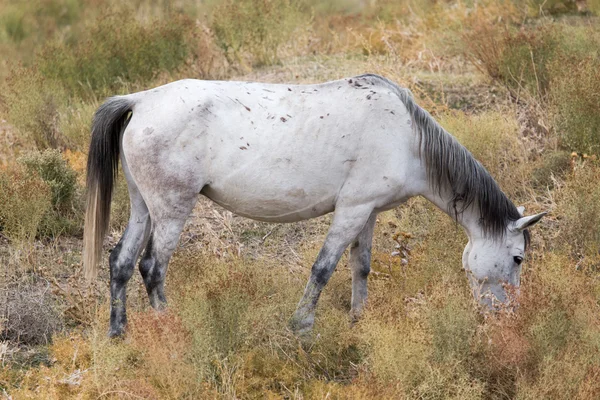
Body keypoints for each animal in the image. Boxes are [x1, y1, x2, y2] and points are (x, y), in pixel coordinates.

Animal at [82, 73, 548, 336]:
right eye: (518, 258)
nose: (507, 316)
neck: (407, 137)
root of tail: (141, 100)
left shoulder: (368, 212)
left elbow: (361, 266)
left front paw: (358, 320)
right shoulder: (352, 210)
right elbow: (323, 268)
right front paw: (301, 327)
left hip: (144, 207)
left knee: (121, 263)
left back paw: (118, 333)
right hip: (172, 210)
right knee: (152, 268)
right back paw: (168, 325)